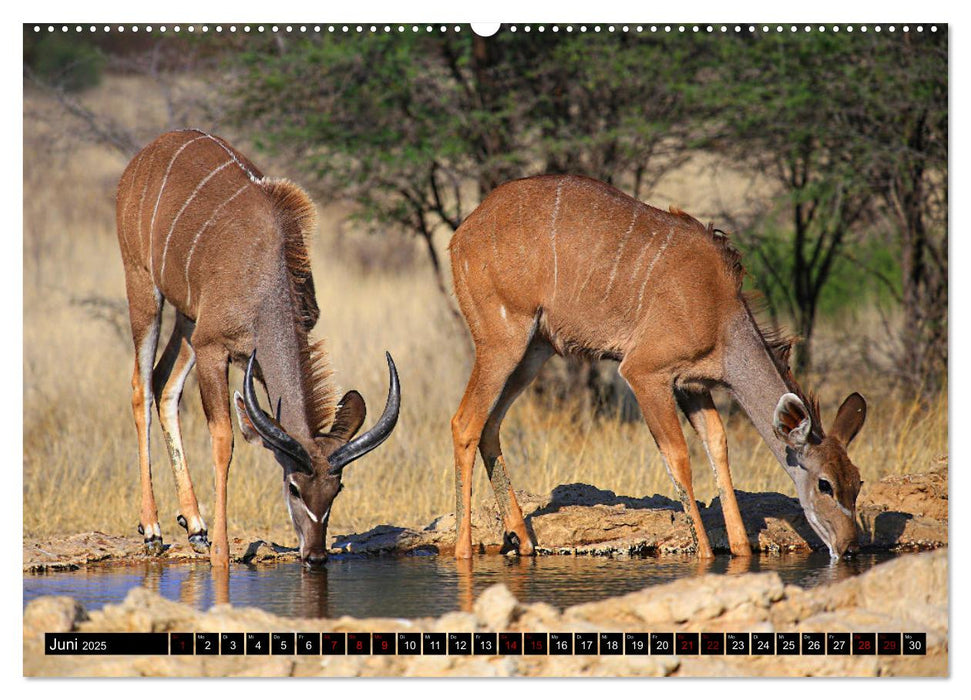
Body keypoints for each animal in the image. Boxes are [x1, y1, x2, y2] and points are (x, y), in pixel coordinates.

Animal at [117, 130, 398, 568]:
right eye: (295, 487)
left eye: (336, 490)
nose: (315, 555)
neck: (266, 281)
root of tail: (144, 155)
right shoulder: (213, 349)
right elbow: (224, 439)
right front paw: (220, 550)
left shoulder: (244, 353)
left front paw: (206, 536)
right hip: (144, 286)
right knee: (141, 386)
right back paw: (153, 530)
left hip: (188, 320)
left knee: (164, 386)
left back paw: (194, 525)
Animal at [452, 178, 868, 560]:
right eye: (825, 484)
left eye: (858, 482)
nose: (849, 547)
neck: (719, 312)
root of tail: (460, 236)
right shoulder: (645, 372)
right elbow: (678, 456)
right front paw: (705, 554)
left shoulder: (693, 385)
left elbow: (717, 443)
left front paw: (739, 549)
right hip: (502, 342)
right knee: (465, 422)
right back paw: (462, 549)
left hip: (534, 352)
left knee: (490, 425)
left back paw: (522, 540)